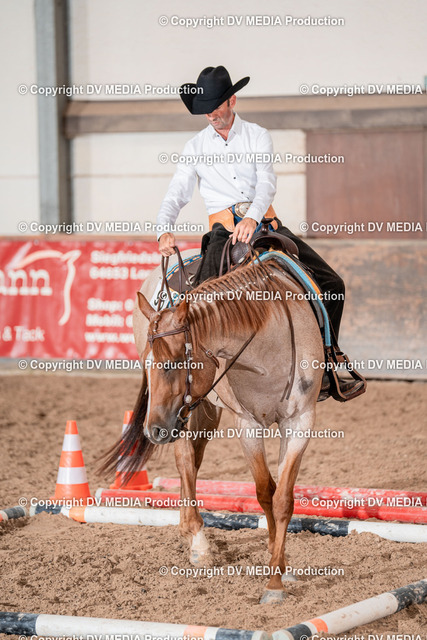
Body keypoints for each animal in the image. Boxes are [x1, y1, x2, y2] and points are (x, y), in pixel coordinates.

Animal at [101, 249, 324, 604]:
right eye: (148, 365)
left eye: (174, 363)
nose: (153, 431)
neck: (268, 350)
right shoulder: (247, 425)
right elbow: (264, 492)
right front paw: (274, 578)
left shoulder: (300, 421)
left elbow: (282, 499)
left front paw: (279, 572)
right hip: (182, 415)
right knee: (185, 462)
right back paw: (198, 542)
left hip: (199, 411)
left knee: (193, 461)